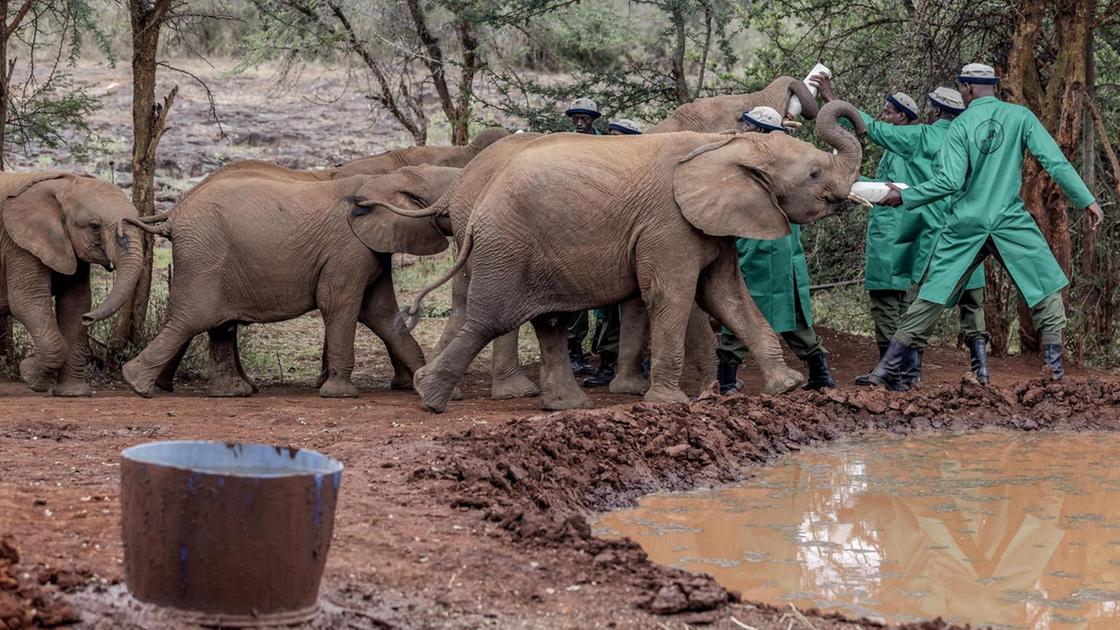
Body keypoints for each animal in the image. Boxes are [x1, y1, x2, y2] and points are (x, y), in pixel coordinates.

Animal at [0, 171, 145, 394]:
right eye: (94, 226)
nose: (89, 318)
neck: (63, 184)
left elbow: (75, 303)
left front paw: (73, 394)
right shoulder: (18, 243)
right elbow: (27, 302)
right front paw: (29, 374)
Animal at [118, 162, 459, 396]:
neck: (387, 179)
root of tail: (175, 213)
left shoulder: (370, 250)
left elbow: (382, 314)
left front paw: (436, 390)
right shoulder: (347, 249)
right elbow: (340, 304)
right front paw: (341, 394)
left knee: (218, 324)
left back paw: (233, 392)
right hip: (205, 256)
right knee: (192, 318)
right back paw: (136, 384)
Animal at [407, 99, 860, 412]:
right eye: (815, 174)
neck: (724, 146)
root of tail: (475, 204)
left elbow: (726, 296)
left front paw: (785, 386)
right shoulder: (669, 223)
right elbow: (673, 295)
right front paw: (671, 403)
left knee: (548, 321)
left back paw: (564, 406)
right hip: (509, 244)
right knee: (492, 319)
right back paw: (430, 395)